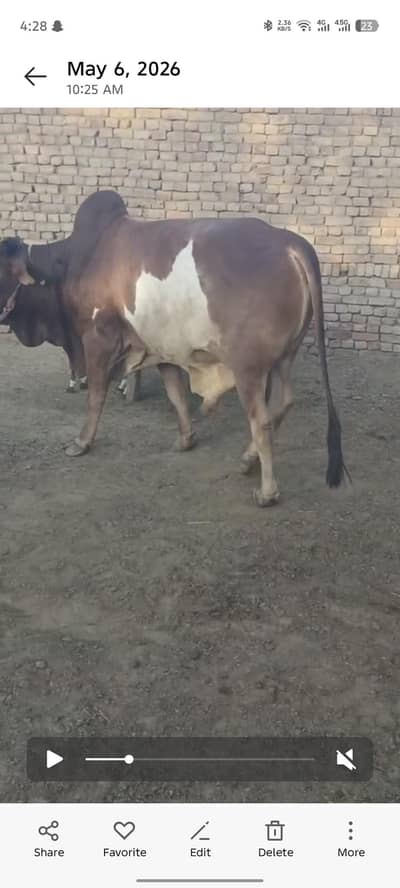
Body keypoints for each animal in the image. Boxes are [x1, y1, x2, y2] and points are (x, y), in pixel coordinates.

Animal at [0, 214, 347, 506]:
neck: (74, 261)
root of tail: (290, 243)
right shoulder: (159, 347)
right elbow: (176, 393)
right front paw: (185, 439)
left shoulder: (97, 339)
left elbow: (96, 396)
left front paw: (81, 442)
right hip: (284, 357)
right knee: (284, 403)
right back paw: (248, 460)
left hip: (248, 367)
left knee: (261, 420)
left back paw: (266, 491)